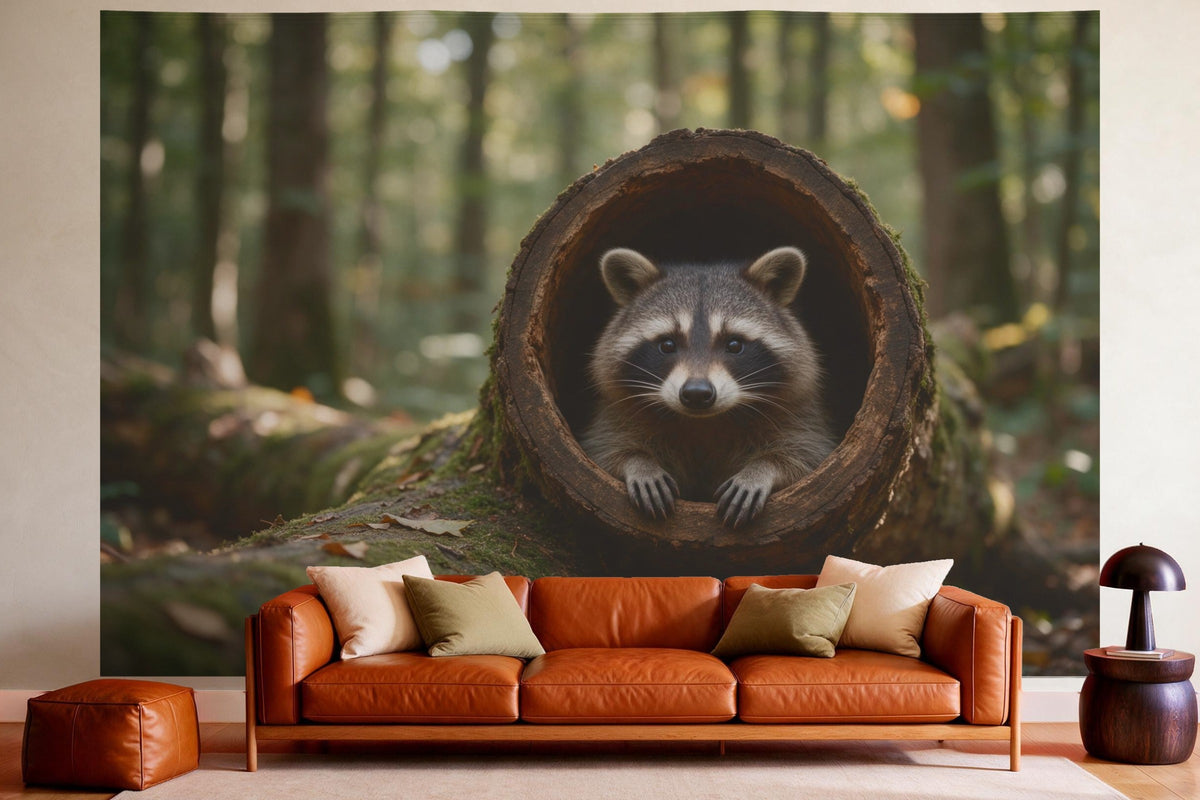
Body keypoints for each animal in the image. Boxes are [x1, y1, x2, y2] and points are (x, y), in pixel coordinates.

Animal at [581, 246, 836, 527]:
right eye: (667, 344)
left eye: (734, 345)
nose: (696, 394)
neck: (705, 422)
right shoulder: (616, 411)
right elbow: (605, 451)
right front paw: (639, 462)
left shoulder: (799, 410)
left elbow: (807, 456)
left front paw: (762, 469)